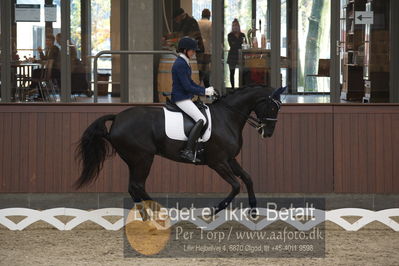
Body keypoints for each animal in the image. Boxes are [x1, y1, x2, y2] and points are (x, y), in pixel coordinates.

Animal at [76, 86, 284, 215]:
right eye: (273, 107)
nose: (268, 133)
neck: (227, 117)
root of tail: (117, 117)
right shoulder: (218, 162)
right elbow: (235, 185)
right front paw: (213, 211)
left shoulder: (230, 159)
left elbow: (247, 178)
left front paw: (254, 210)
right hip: (143, 158)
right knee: (138, 185)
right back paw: (162, 213)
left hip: (133, 160)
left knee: (133, 187)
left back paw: (147, 218)